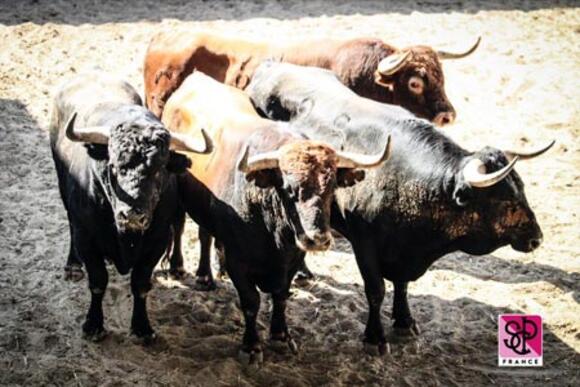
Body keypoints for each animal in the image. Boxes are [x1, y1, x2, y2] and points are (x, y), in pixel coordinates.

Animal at [49, 73, 213, 342]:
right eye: (113, 166)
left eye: (159, 169)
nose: (133, 214)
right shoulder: (87, 237)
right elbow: (98, 281)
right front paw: (93, 324)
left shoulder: (156, 242)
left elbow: (140, 284)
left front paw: (142, 327)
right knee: (70, 223)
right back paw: (72, 266)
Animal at [246, 62, 552, 356]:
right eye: (504, 200)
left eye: (521, 189)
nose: (536, 238)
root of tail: (270, 66)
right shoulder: (365, 243)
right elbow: (376, 290)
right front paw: (375, 338)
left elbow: (402, 285)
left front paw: (404, 321)